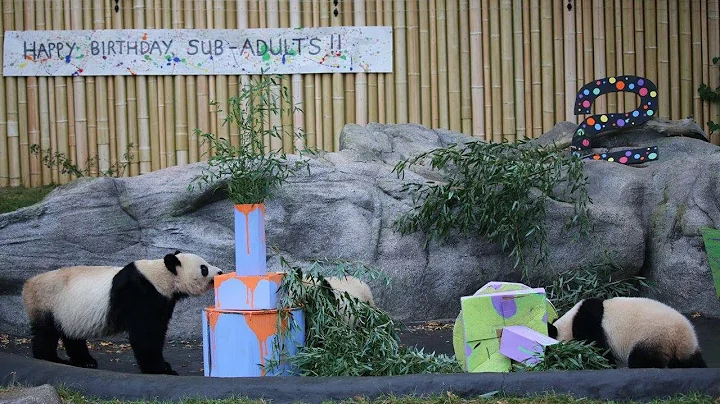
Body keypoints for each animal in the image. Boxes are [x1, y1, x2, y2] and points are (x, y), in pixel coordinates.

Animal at [21, 249, 225, 376]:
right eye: (204, 268)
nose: (220, 271)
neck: (161, 275)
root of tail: (27, 284)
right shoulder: (141, 293)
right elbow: (146, 334)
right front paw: (161, 368)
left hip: (68, 311)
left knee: (71, 334)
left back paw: (86, 361)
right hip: (47, 302)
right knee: (46, 333)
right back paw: (51, 358)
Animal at [548, 296, 704, 368]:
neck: (570, 321)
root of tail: (681, 338)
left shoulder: (588, 325)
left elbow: (597, 348)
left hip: (652, 337)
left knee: (641, 360)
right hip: (686, 351)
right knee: (692, 363)